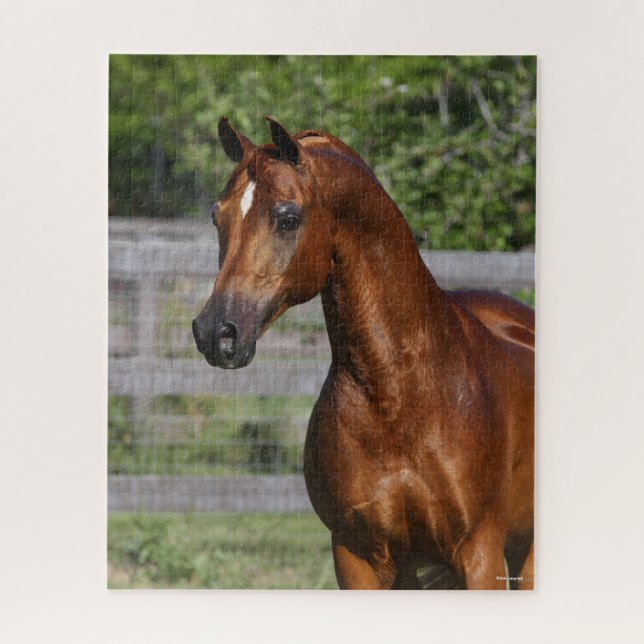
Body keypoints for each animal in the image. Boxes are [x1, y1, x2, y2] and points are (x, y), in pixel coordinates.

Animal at [192, 117, 535, 590]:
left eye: (288, 218)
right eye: (217, 216)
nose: (216, 333)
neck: (397, 396)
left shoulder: (479, 554)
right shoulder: (356, 555)